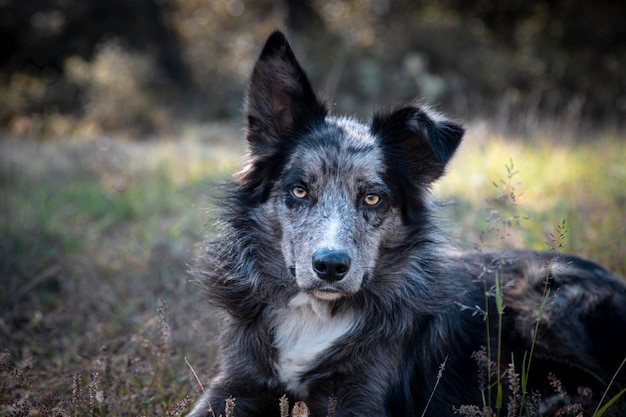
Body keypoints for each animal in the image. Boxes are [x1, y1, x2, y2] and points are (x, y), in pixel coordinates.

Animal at [189, 30, 624, 414]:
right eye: (299, 190)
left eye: (372, 197)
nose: (330, 267)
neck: (314, 313)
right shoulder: (236, 384)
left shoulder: (358, 398)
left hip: (542, 305)